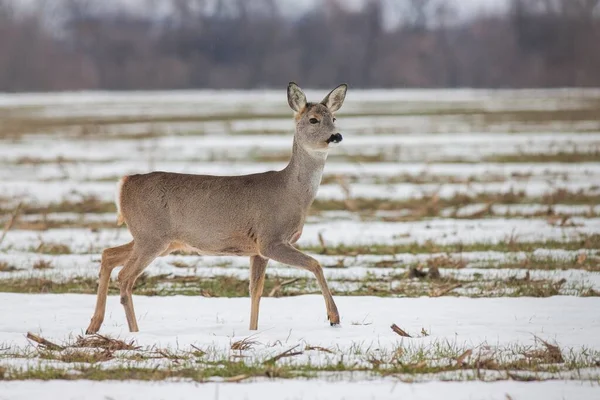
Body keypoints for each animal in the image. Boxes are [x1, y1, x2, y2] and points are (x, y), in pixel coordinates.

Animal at [84, 81, 346, 334]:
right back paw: (134, 331)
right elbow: (315, 263)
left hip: (155, 239)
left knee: (108, 255)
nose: (336, 136)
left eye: (334, 118)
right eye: (313, 119)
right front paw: (334, 317)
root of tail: (124, 184)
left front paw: (253, 330)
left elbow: (255, 291)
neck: (292, 193)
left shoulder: (256, 250)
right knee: (125, 276)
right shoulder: (270, 239)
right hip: (151, 236)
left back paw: (93, 325)